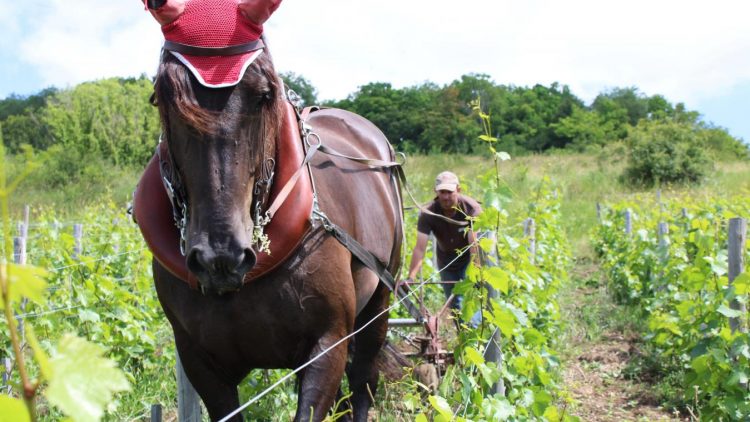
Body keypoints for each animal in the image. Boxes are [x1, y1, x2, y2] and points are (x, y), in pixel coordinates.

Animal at [135, 1, 406, 420]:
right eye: (162, 97)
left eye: (264, 94)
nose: (220, 257)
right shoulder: (200, 363)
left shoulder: (328, 346)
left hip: (377, 304)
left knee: (363, 382)